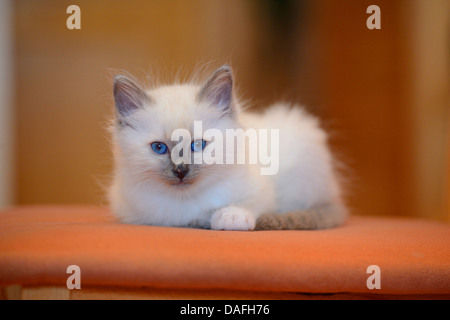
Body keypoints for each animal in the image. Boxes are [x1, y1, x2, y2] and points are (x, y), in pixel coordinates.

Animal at [109, 65, 348, 230]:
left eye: (198, 145)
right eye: (159, 147)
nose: (180, 171)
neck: (187, 203)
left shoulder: (263, 191)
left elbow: (250, 203)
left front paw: (231, 217)